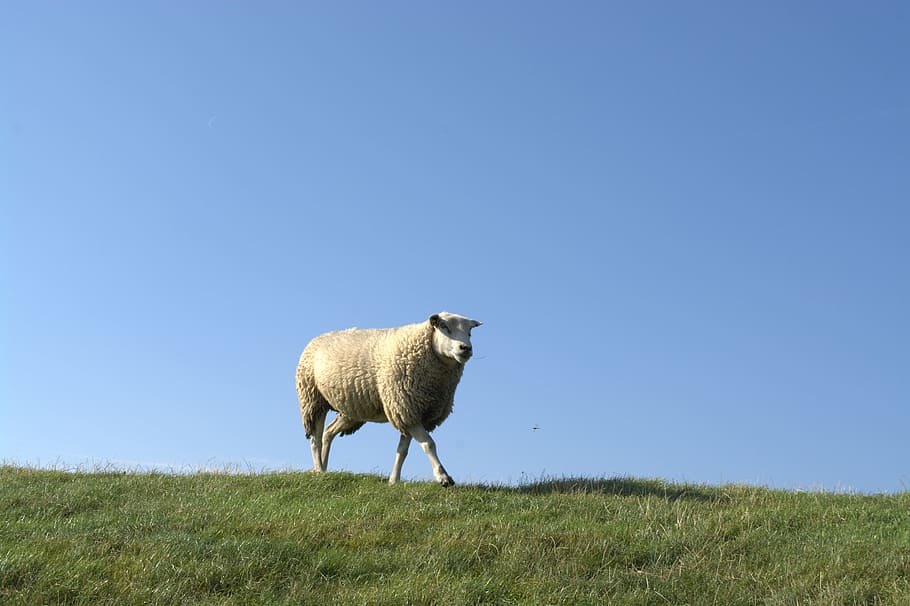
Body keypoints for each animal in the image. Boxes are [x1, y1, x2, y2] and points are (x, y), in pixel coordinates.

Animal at [296, 312, 481, 486]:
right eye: (444, 327)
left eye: (470, 332)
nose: (466, 348)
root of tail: (318, 338)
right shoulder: (404, 406)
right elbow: (428, 444)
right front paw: (443, 477)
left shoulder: (409, 412)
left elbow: (403, 450)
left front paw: (393, 480)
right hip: (313, 399)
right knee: (315, 438)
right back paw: (318, 469)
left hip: (351, 410)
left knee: (328, 432)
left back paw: (324, 468)